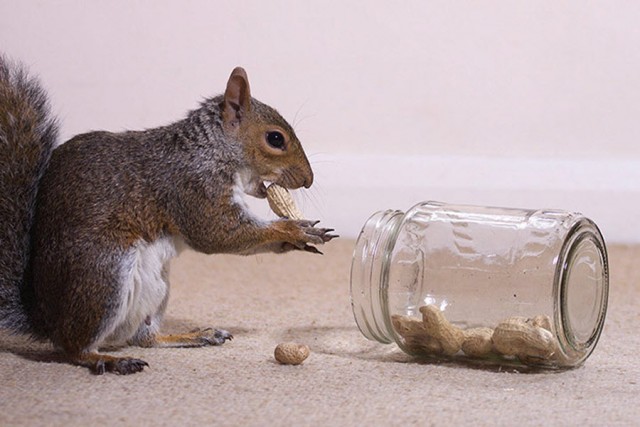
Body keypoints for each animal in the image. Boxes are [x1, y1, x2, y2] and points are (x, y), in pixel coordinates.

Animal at [0, 55, 336, 375]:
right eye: (275, 139)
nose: (308, 180)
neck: (209, 150)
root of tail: (45, 318)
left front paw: (299, 239)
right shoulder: (192, 187)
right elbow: (218, 233)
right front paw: (294, 230)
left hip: (156, 286)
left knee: (145, 338)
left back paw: (195, 335)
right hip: (103, 273)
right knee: (73, 347)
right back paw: (108, 360)